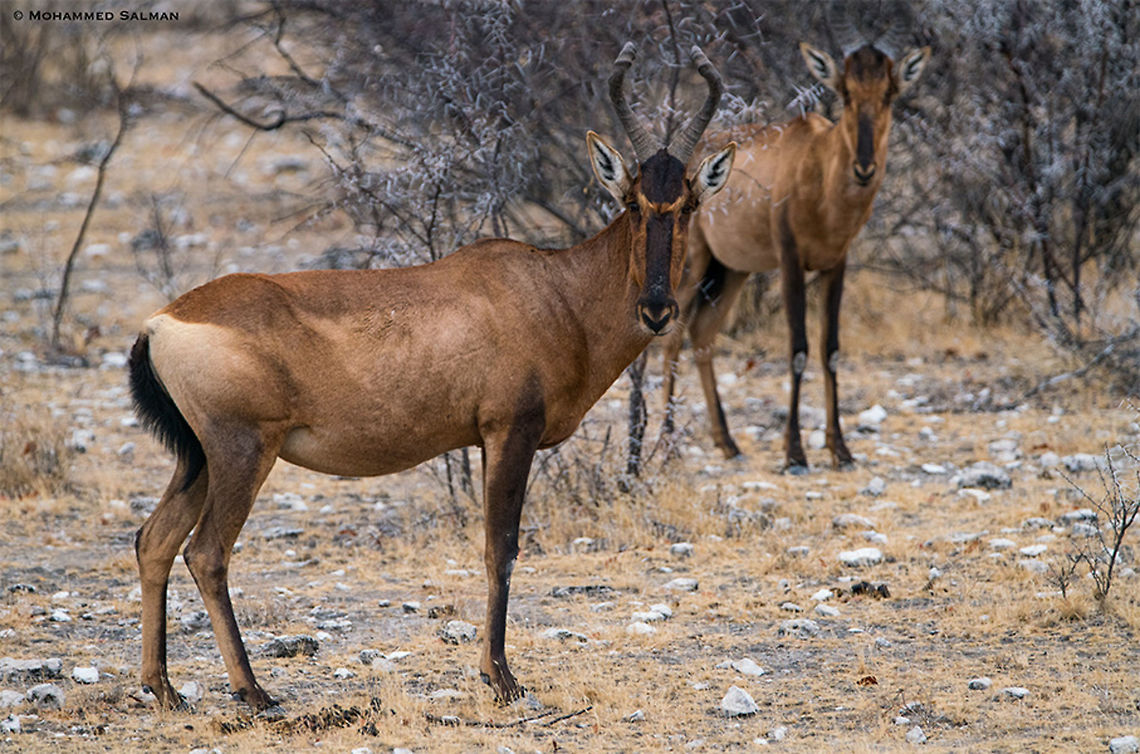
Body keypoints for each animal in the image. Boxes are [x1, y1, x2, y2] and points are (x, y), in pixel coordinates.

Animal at [127, 42, 735, 713]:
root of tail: (162, 322)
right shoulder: (509, 432)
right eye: (632, 201)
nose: (656, 310)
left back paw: (164, 688)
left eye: (688, 203)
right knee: (207, 552)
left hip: (197, 456)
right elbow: (501, 549)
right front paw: (501, 677)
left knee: (153, 540)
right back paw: (252, 691)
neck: (551, 289)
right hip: (241, 451)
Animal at [661, 14, 929, 473]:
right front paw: (795, 453)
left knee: (703, 334)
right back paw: (665, 443)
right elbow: (799, 349)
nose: (864, 168)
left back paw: (727, 443)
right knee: (673, 336)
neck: (817, 163)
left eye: (889, 92)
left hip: (731, 270)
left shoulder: (836, 263)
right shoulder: (789, 262)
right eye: (845, 92)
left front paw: (841, 450)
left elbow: (831, 350)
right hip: (694, 263)